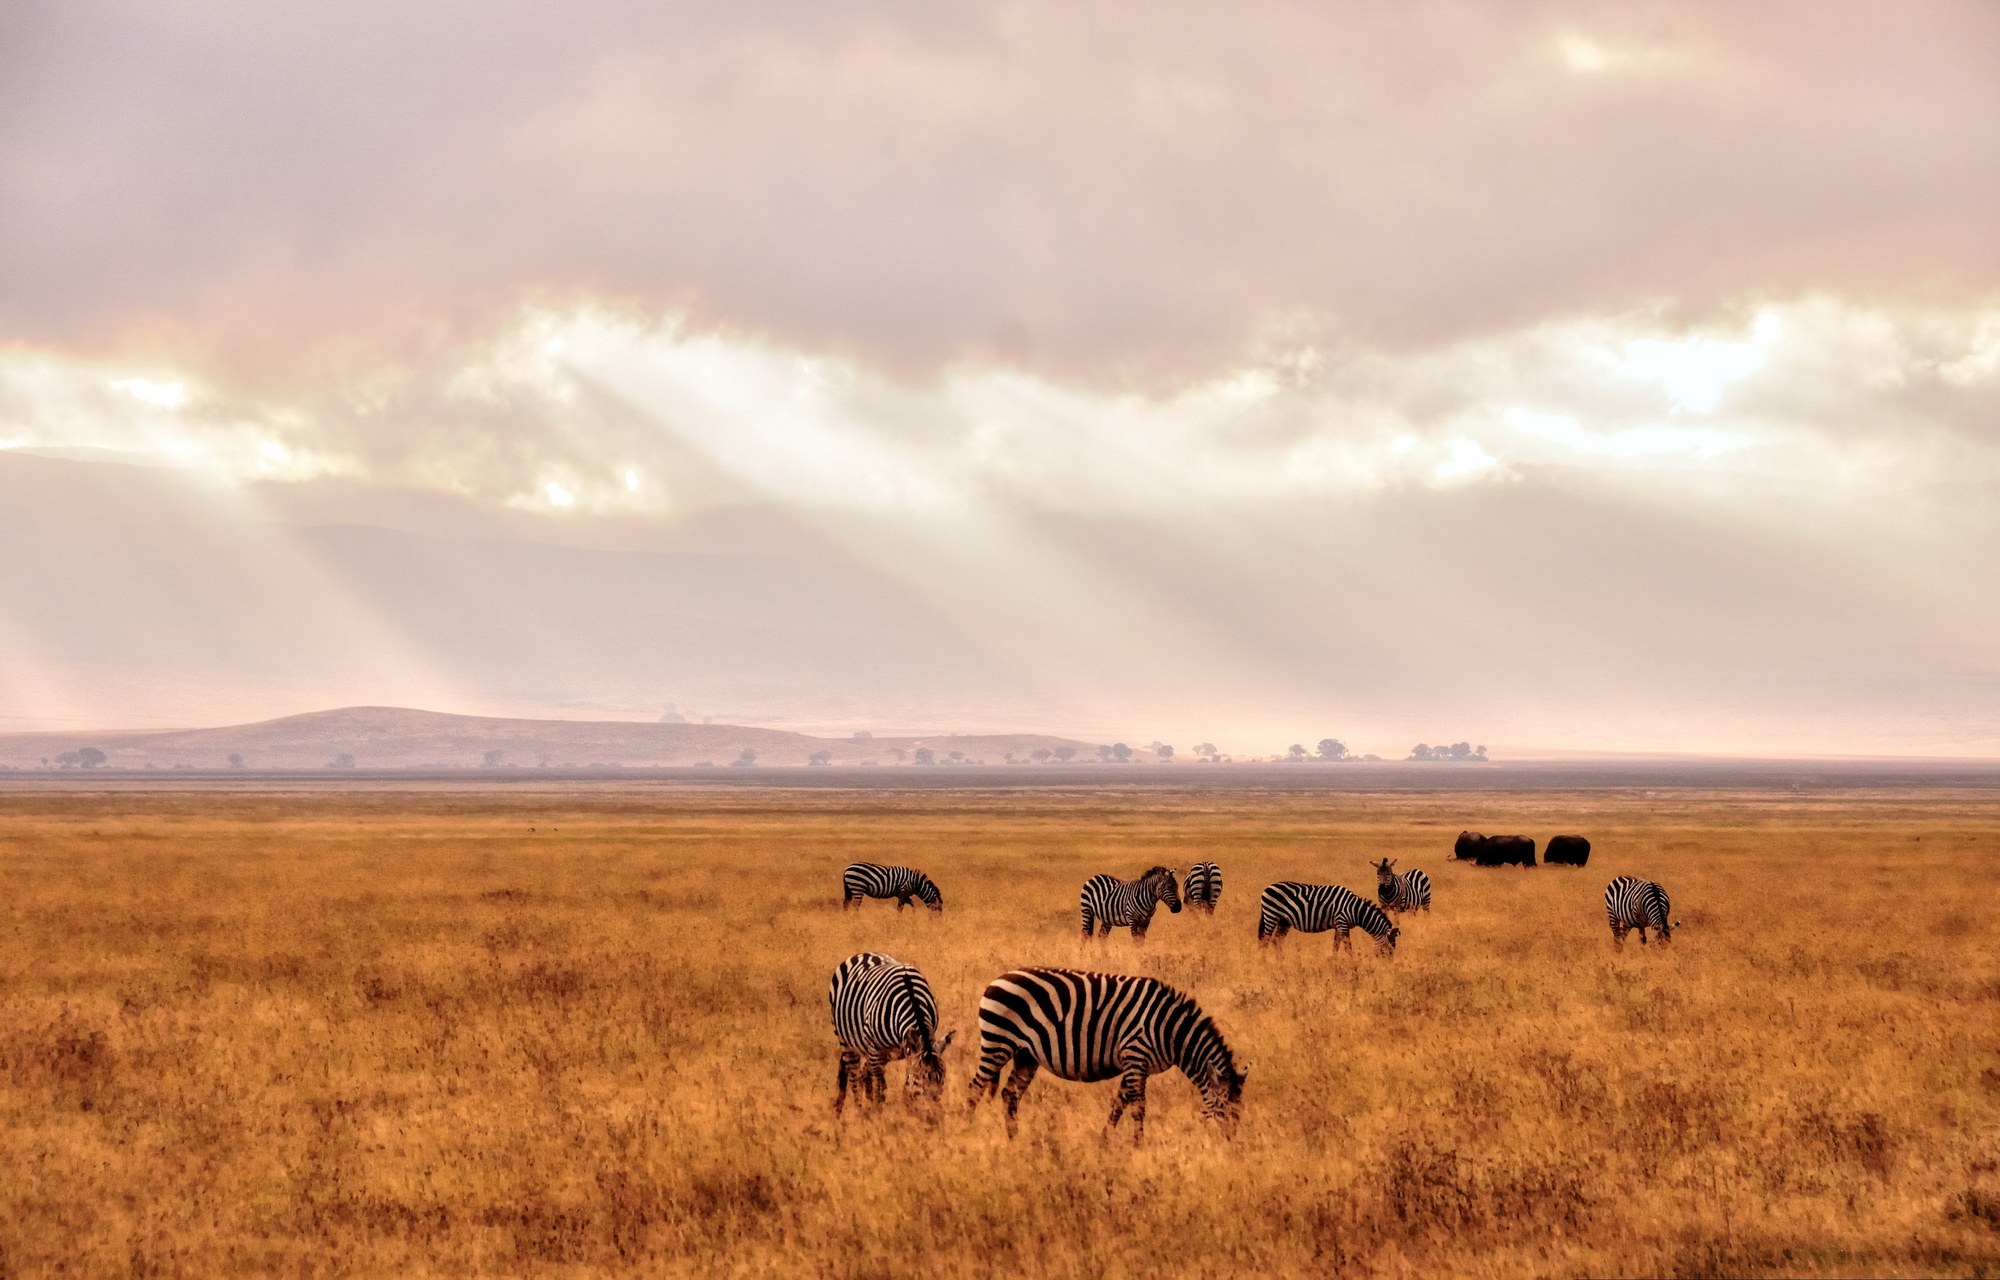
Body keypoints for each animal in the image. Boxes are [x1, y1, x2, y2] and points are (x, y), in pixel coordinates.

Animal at [824, 944, 956, 1112]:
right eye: (920, 1078)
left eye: (943, 1077)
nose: (935, 1112)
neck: (912, 1000)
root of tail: (864, 953)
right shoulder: (875, 1049)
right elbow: (879, 1088)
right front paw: (879, 1115)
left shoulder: (908, 1050)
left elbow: (903, 1086)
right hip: (847, 1042)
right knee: (855, 1075)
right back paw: (861, 1111)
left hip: (882, 1054)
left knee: (863, 1073)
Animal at [960, 968, 1240, 1136]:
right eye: (1223, 1108)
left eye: (1239, 1110)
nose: (1232, 1143)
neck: (1169, 1029)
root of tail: (998, 978)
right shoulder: (1135, 1054)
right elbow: (1138, 1107)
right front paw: (1138, 1146)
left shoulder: (1136, 1065)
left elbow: (1119, 1104)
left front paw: (1105, 1142)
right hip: (998, 1042)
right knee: (975, 1089)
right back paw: (965, 1132)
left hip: (1025, 1054)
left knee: (1010, 1094)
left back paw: (1014, 1138)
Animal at [1256, 884, 1400, 956]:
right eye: (1390, 949)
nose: (1388, 967)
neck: (1355, 910)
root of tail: (1267, 888)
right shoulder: (1342, 922)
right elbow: (1348, 947)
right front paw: (1353, 966)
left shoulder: (1339, 925)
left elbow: (1336, 946)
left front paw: (1332, 964)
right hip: (1271, 915)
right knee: (1265, 942)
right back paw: (1264, 964)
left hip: (1284, 920)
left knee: (1276, 941)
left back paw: (1282, 962)